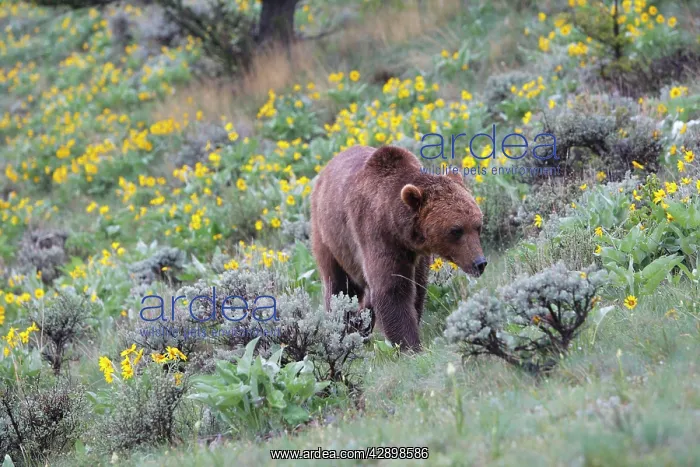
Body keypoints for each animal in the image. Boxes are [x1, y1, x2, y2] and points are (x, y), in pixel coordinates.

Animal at [310, 145, 487, 351]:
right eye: (456, 230)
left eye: (478, 225)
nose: (479, 263)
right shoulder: (377, 236)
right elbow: (392, 290)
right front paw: (410, 345)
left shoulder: (416, 255)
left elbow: (416, 289)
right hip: (331, 239)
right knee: (339, 287)